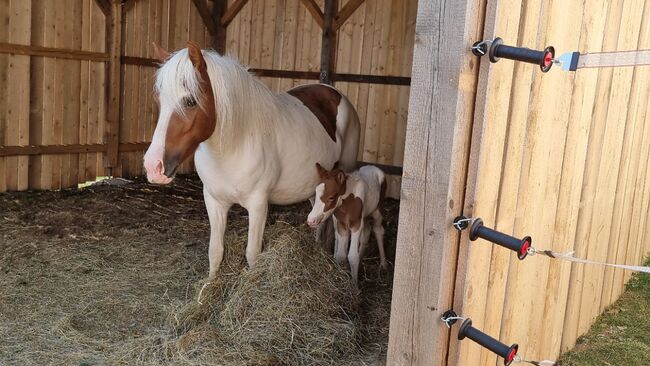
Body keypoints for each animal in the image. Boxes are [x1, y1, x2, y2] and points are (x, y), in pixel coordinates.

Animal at [142, 42, 362, 278]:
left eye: (190, 101)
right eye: (158, 100)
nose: (153, 166)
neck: (233, 148)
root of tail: (334, 93)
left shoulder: (258, 205)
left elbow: (252, 254)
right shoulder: (214, 201)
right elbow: (215, 251)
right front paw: (209, 286)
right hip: (315, 187)